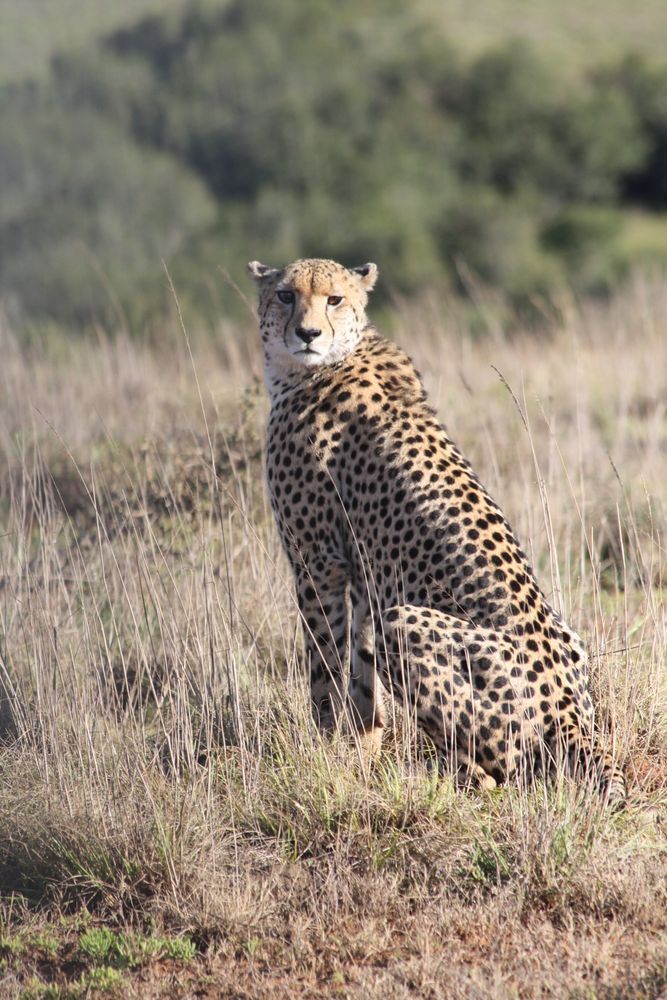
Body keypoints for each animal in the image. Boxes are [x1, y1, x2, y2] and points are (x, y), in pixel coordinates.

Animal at [248, 256, 626, 806]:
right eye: (284, 295)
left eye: (334, 299)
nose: (307, 333)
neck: (321, 366)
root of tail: (571, 713)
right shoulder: (366, 572)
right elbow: (361, 674)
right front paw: (362, 751)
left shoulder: (317, 564)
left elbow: (324, 668)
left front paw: (322, 748)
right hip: (567, 639)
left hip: (408, 627)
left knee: (505, 771)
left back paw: (455, 778)